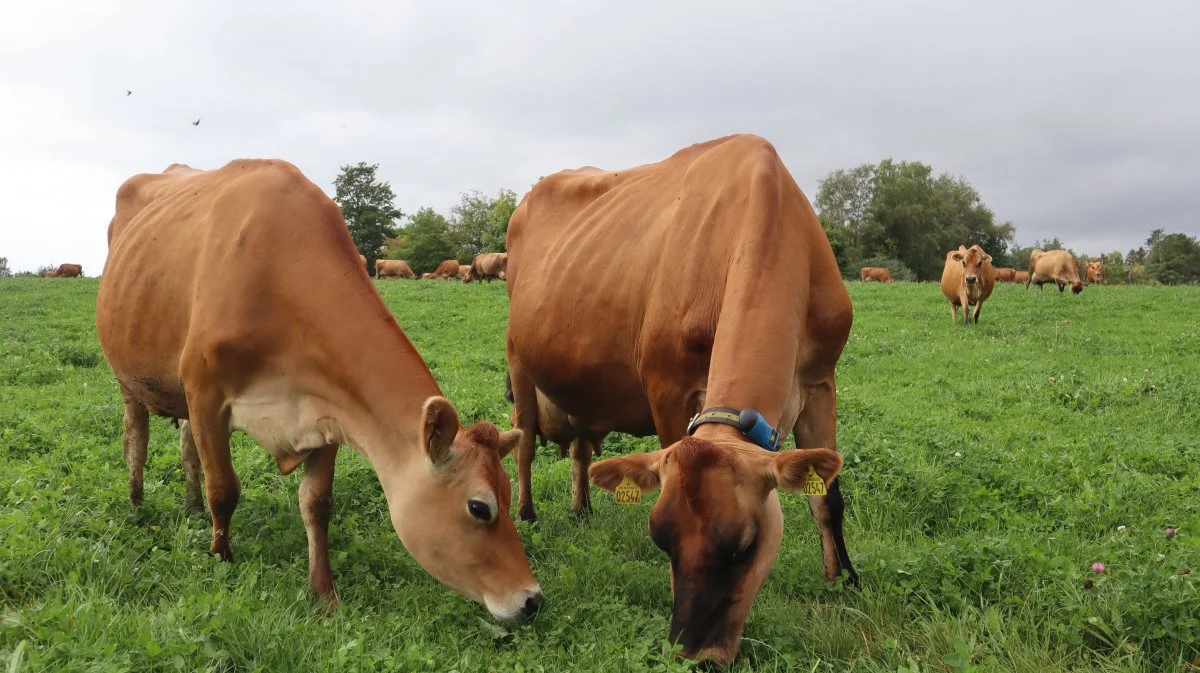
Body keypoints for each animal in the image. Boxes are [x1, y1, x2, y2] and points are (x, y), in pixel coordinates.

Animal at [506, 133, 854, 662]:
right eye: (661, 541)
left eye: (746, 546)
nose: (695, 655)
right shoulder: (667, 387)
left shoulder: (820, 381)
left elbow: (826, 498)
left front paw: (844, 584)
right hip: (518, 359)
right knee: (524, 441)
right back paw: (527, 514)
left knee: (582, 447)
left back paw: (582, 509)